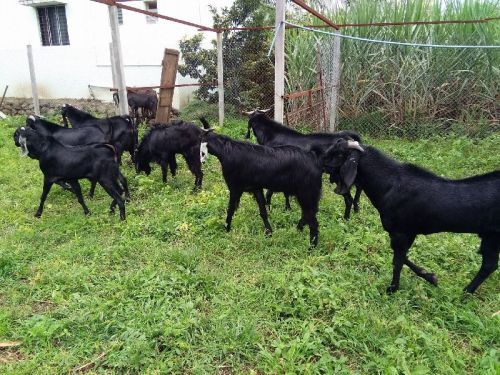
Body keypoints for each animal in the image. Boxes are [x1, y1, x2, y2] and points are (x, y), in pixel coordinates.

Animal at [322, 138, 498, 294]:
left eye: (339, 154)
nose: (320, 163)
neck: (390, 186)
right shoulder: (409, 232)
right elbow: (403, 256)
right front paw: (430, 276)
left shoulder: (400, 232)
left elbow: (398, 261)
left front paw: (392, 289)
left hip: (493, 236)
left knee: (489, 265)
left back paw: (466, 292)